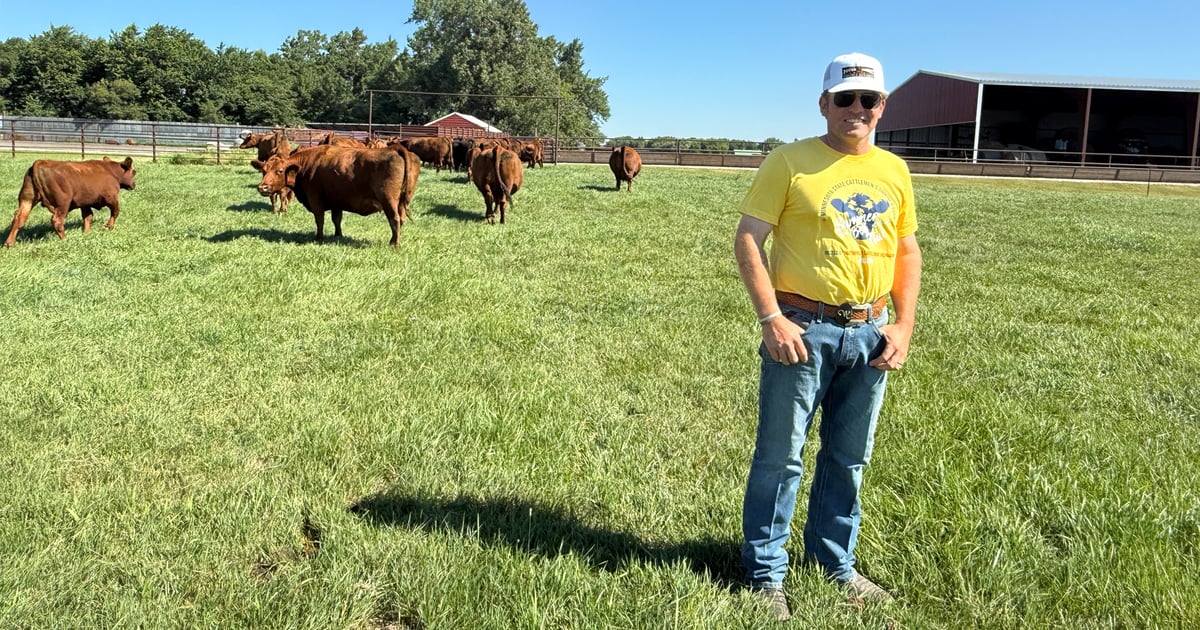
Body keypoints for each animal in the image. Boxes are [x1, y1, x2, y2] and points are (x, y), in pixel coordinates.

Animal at [4, 156, 137, 247]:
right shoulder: (112, 198)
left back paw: (9, 243)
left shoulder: (85, 204)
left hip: (27, 200)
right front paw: (108, 226)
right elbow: (115, 212)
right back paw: (65, 238)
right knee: (57, 220)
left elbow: (88, 217)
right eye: (134, 172)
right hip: (62, 204)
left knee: (19, 217)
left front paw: (87, 232)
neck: (110, 171)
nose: (134, 185)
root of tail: (41, 162)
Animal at [253, 145, 420, 246]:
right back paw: (394, 240)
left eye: (280, 171)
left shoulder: (315, 200)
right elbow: (336, 220)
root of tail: (395, 148)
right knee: (401, 219)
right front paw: (338, 236)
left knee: (394, 220)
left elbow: (319, 220)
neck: (305, 166)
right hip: (402, 202)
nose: (262, 187)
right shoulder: (336, 201)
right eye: (264, 170)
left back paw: (394, 244)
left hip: (388, 200)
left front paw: (319, 238)